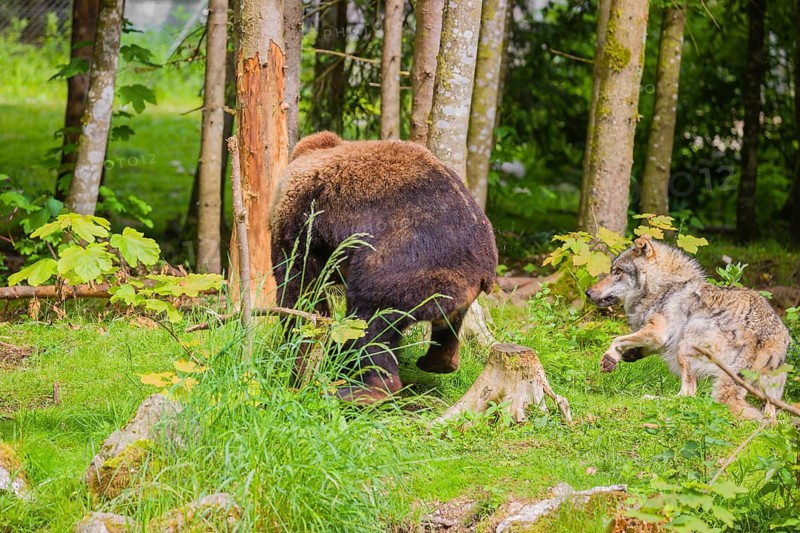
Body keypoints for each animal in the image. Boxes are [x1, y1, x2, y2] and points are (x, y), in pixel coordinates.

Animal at [271, 131, 498, 403]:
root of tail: (482, 269)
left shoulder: (302, 226)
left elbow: (299, 292)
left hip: (401, 267)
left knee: (369, 322)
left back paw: (361, 390)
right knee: (446, 328)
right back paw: (439, 361)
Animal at [585, 235, 791, 420]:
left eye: (617, 271)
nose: (588, 292)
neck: (664, 287)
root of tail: (758, 336)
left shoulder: (659, 332)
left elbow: (617, 339)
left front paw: (609, 357)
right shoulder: (662, 337)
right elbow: (636, 344)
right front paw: (628, 354)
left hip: (686, 341)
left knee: (687, 394)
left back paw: (652, 398)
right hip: (770, 390)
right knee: (772, 413)